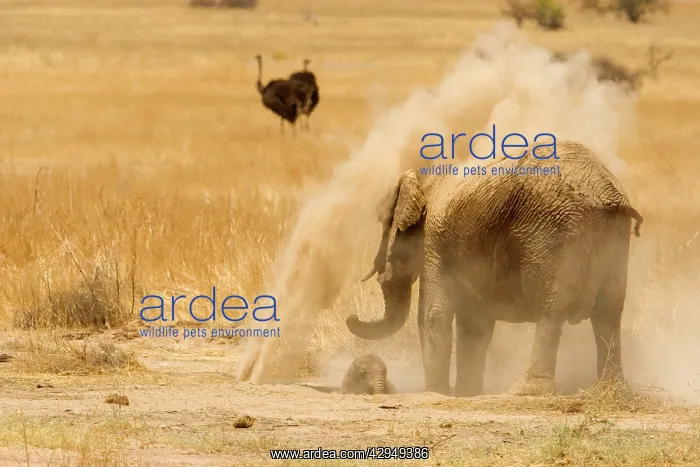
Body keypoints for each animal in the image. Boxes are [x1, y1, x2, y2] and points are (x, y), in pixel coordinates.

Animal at [346, 140, 643, 398]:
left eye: (385, 226)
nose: (351, 317)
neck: (424, 182)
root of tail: (608, 195)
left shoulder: (434, 239)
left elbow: (433, 316)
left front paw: (436, 393)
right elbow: (474, 325)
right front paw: (466, 394)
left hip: (555, 236)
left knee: (553, 310)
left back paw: (524, 392)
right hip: (614, 237)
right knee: (609, 310)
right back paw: (611, 390)